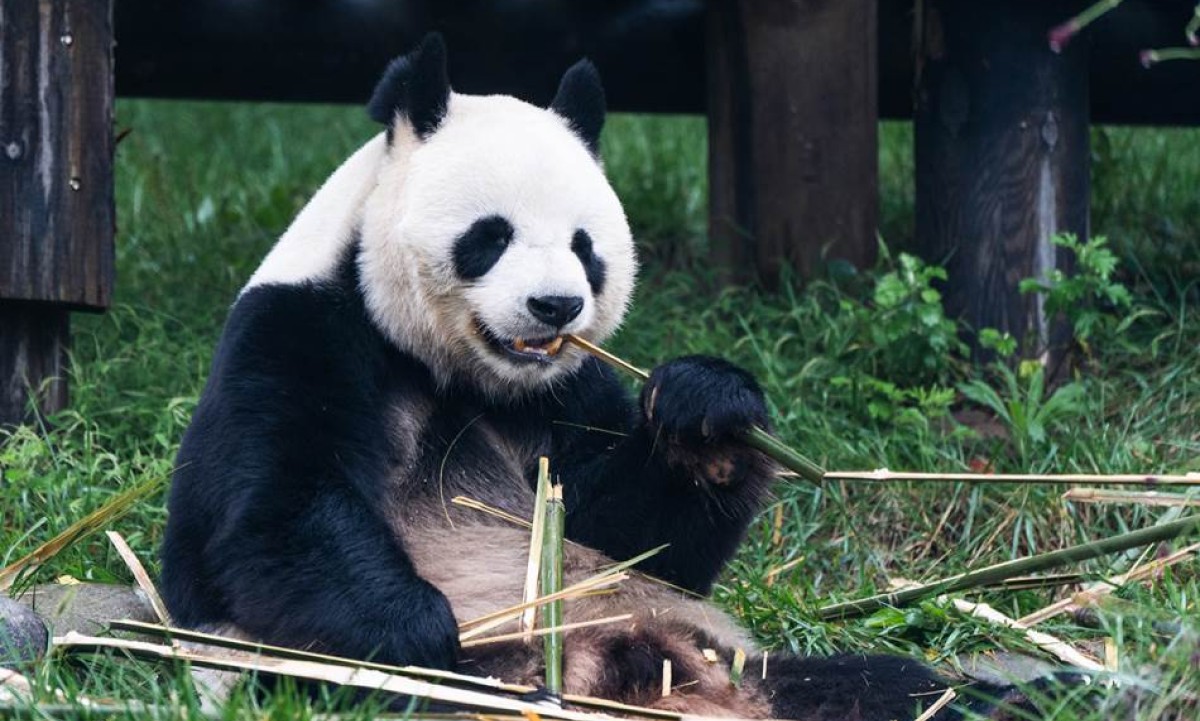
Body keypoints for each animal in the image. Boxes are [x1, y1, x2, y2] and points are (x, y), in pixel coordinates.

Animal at [161, 34, 1040, 721]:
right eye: (490, 235)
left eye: (586, 247)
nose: (555, 305)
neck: (454, 369)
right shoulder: (299, 332)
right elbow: (276, 513)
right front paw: (415, 630)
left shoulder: (566, 391)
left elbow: (624, 535)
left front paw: (704, 412)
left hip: (747, 666)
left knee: (888, 688)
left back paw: (1018, 696)